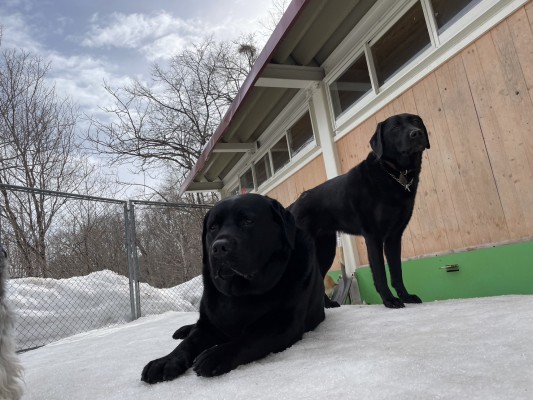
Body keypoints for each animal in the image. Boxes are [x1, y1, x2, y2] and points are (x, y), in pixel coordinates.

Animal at [141, 195, 324, 384]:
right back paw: (183, 330)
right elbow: (188, 342)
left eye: (247, 221)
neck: (240, 293)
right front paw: (165, 361)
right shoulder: (207, 324)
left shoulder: (284, 324)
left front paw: (215, 355)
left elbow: (251, 339)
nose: (219, 247)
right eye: (213, 227)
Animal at [288, 114, 430, 308]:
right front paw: (389, 300)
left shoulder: (394, 237)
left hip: (326, 249)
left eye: (415, 121)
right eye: (395, 128)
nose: (416, 133)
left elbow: (396, 272)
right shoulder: (373, 237)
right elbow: (380, 273)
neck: (392, 173)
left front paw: (406, 297)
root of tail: (293, 206)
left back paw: (327, 304)